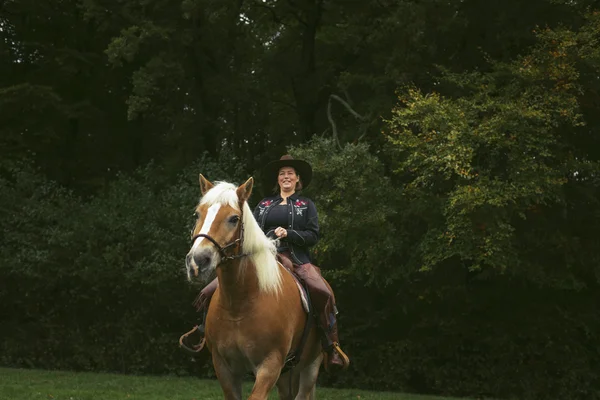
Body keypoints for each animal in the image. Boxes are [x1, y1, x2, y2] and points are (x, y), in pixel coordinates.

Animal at [185, 175, 324, 400]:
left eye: (234, 218)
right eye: (198, 214)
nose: (197, 262)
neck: (240, 304)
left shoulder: (270, 366)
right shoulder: (224, 368)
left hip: (310, 366)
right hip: (287, 375)